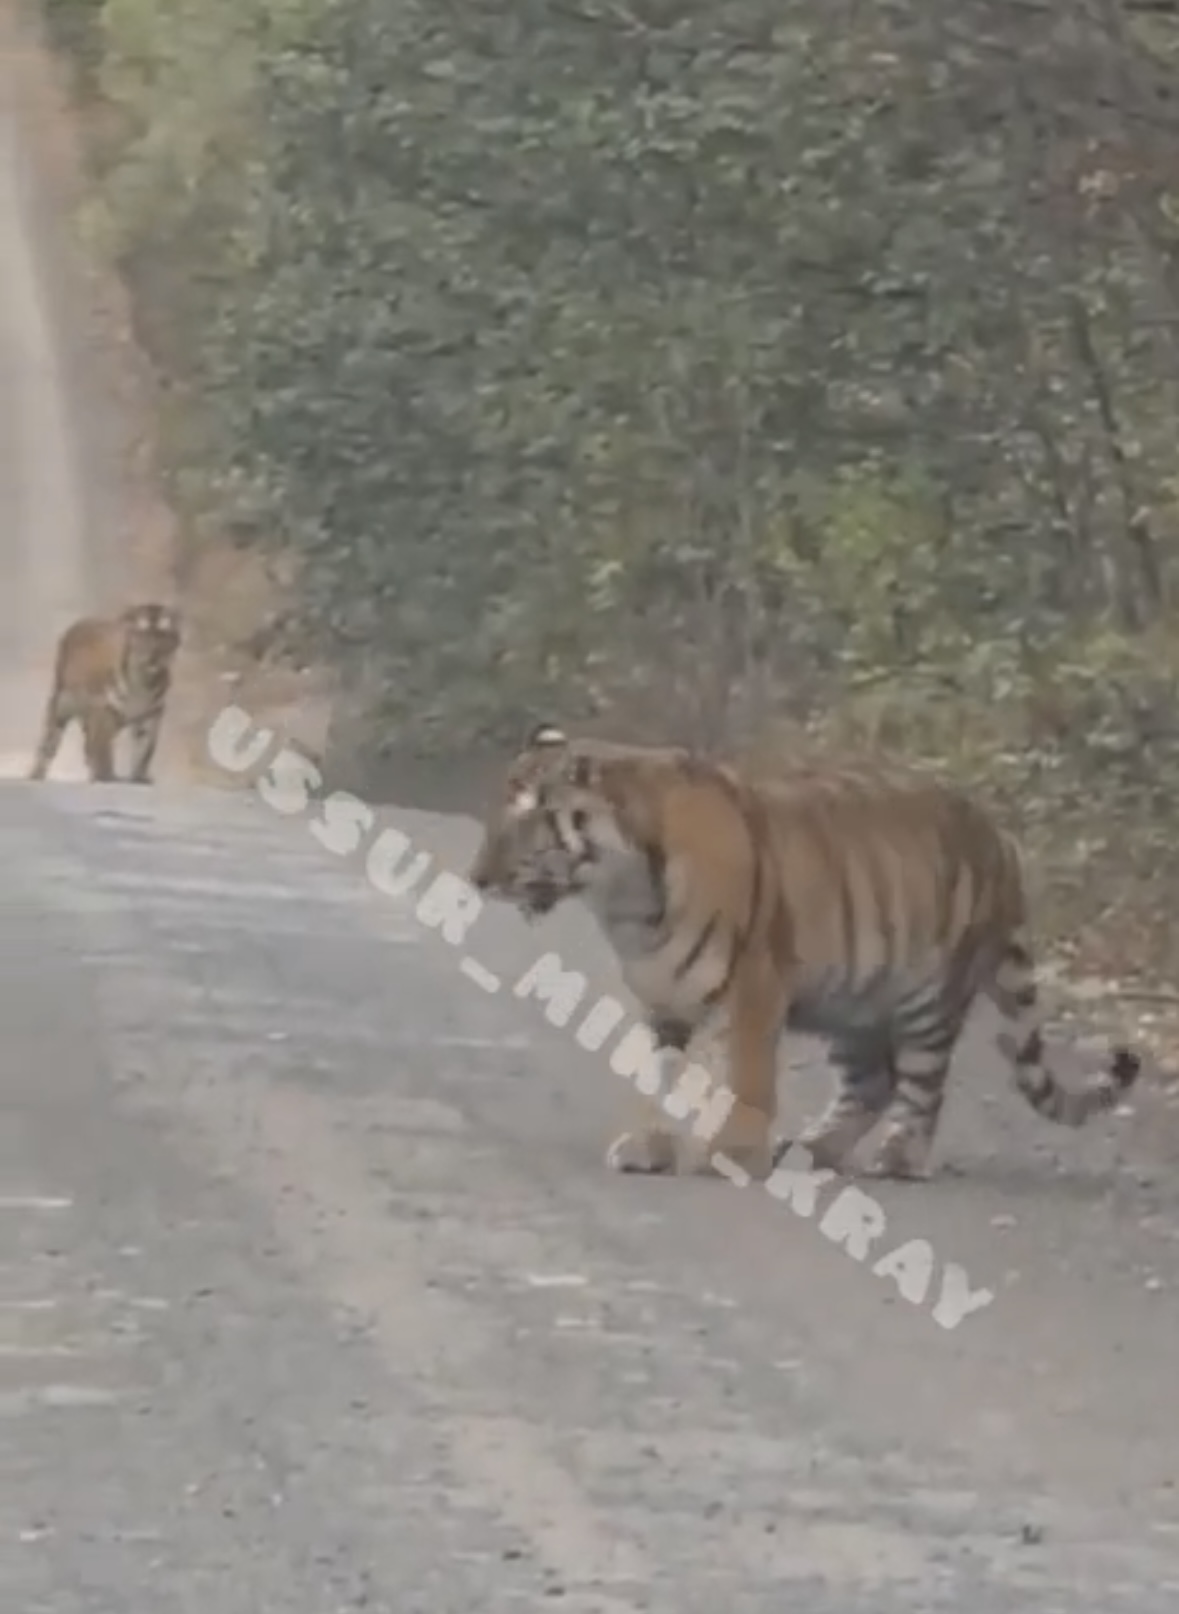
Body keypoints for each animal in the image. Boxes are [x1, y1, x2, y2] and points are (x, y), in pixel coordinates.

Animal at [27, 602, 182, 786]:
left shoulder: (151, 714)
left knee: (87, 748)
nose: (154, 654)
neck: (142, 680)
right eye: (142, 634)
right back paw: (36, 774)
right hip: (61, 705)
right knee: (49, 743)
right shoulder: (103, 710)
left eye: (163, 635)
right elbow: (104, 749)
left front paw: (139, 776)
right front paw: (107, 776)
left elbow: (145, 749)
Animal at [466, 722, 1142, 1183]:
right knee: (872, 1083)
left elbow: (748, 1075)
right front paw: (646, 1146)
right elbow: (654, 1072)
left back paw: (896, 1158)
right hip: (855, 1004)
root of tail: (1002, 839)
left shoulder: (754, 983)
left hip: (928, 997)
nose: (476, 878)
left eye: (526, 820)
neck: (623, 898)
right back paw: (809, 1150)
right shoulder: (664, 1000)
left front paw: (734, 1151)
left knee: (922, 1086)